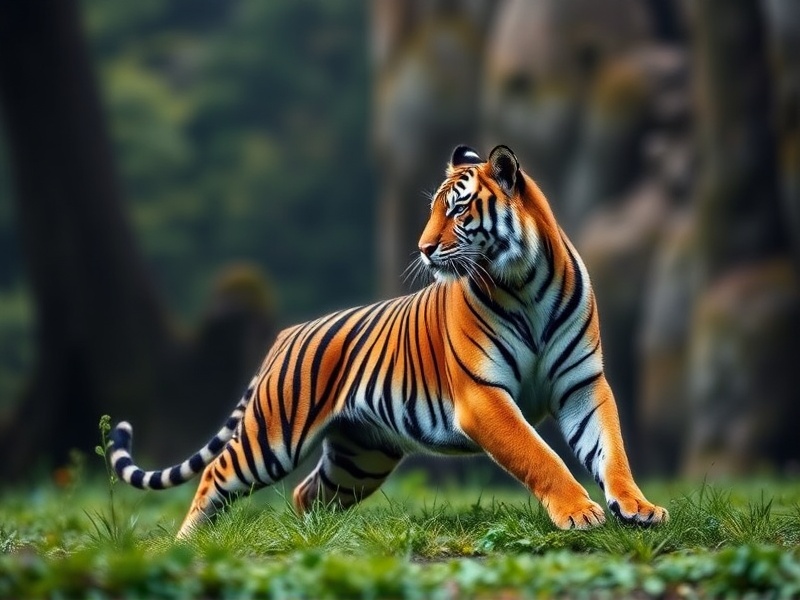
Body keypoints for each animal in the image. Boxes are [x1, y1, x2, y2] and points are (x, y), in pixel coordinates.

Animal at [109, 144, 668, 539]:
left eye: (458, 211)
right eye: (434, 210)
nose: (422, 248)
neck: (525, 280)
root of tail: (287, 333)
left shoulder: (582, 384)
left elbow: (611, 450)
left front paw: (638, 508)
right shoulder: (483, 396)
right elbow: (541, 456)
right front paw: (579, 513)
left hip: (360, 457)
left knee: (308, 494)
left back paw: (320, 542)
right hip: (271, 437)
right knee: (214, 475)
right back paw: (186, 546)